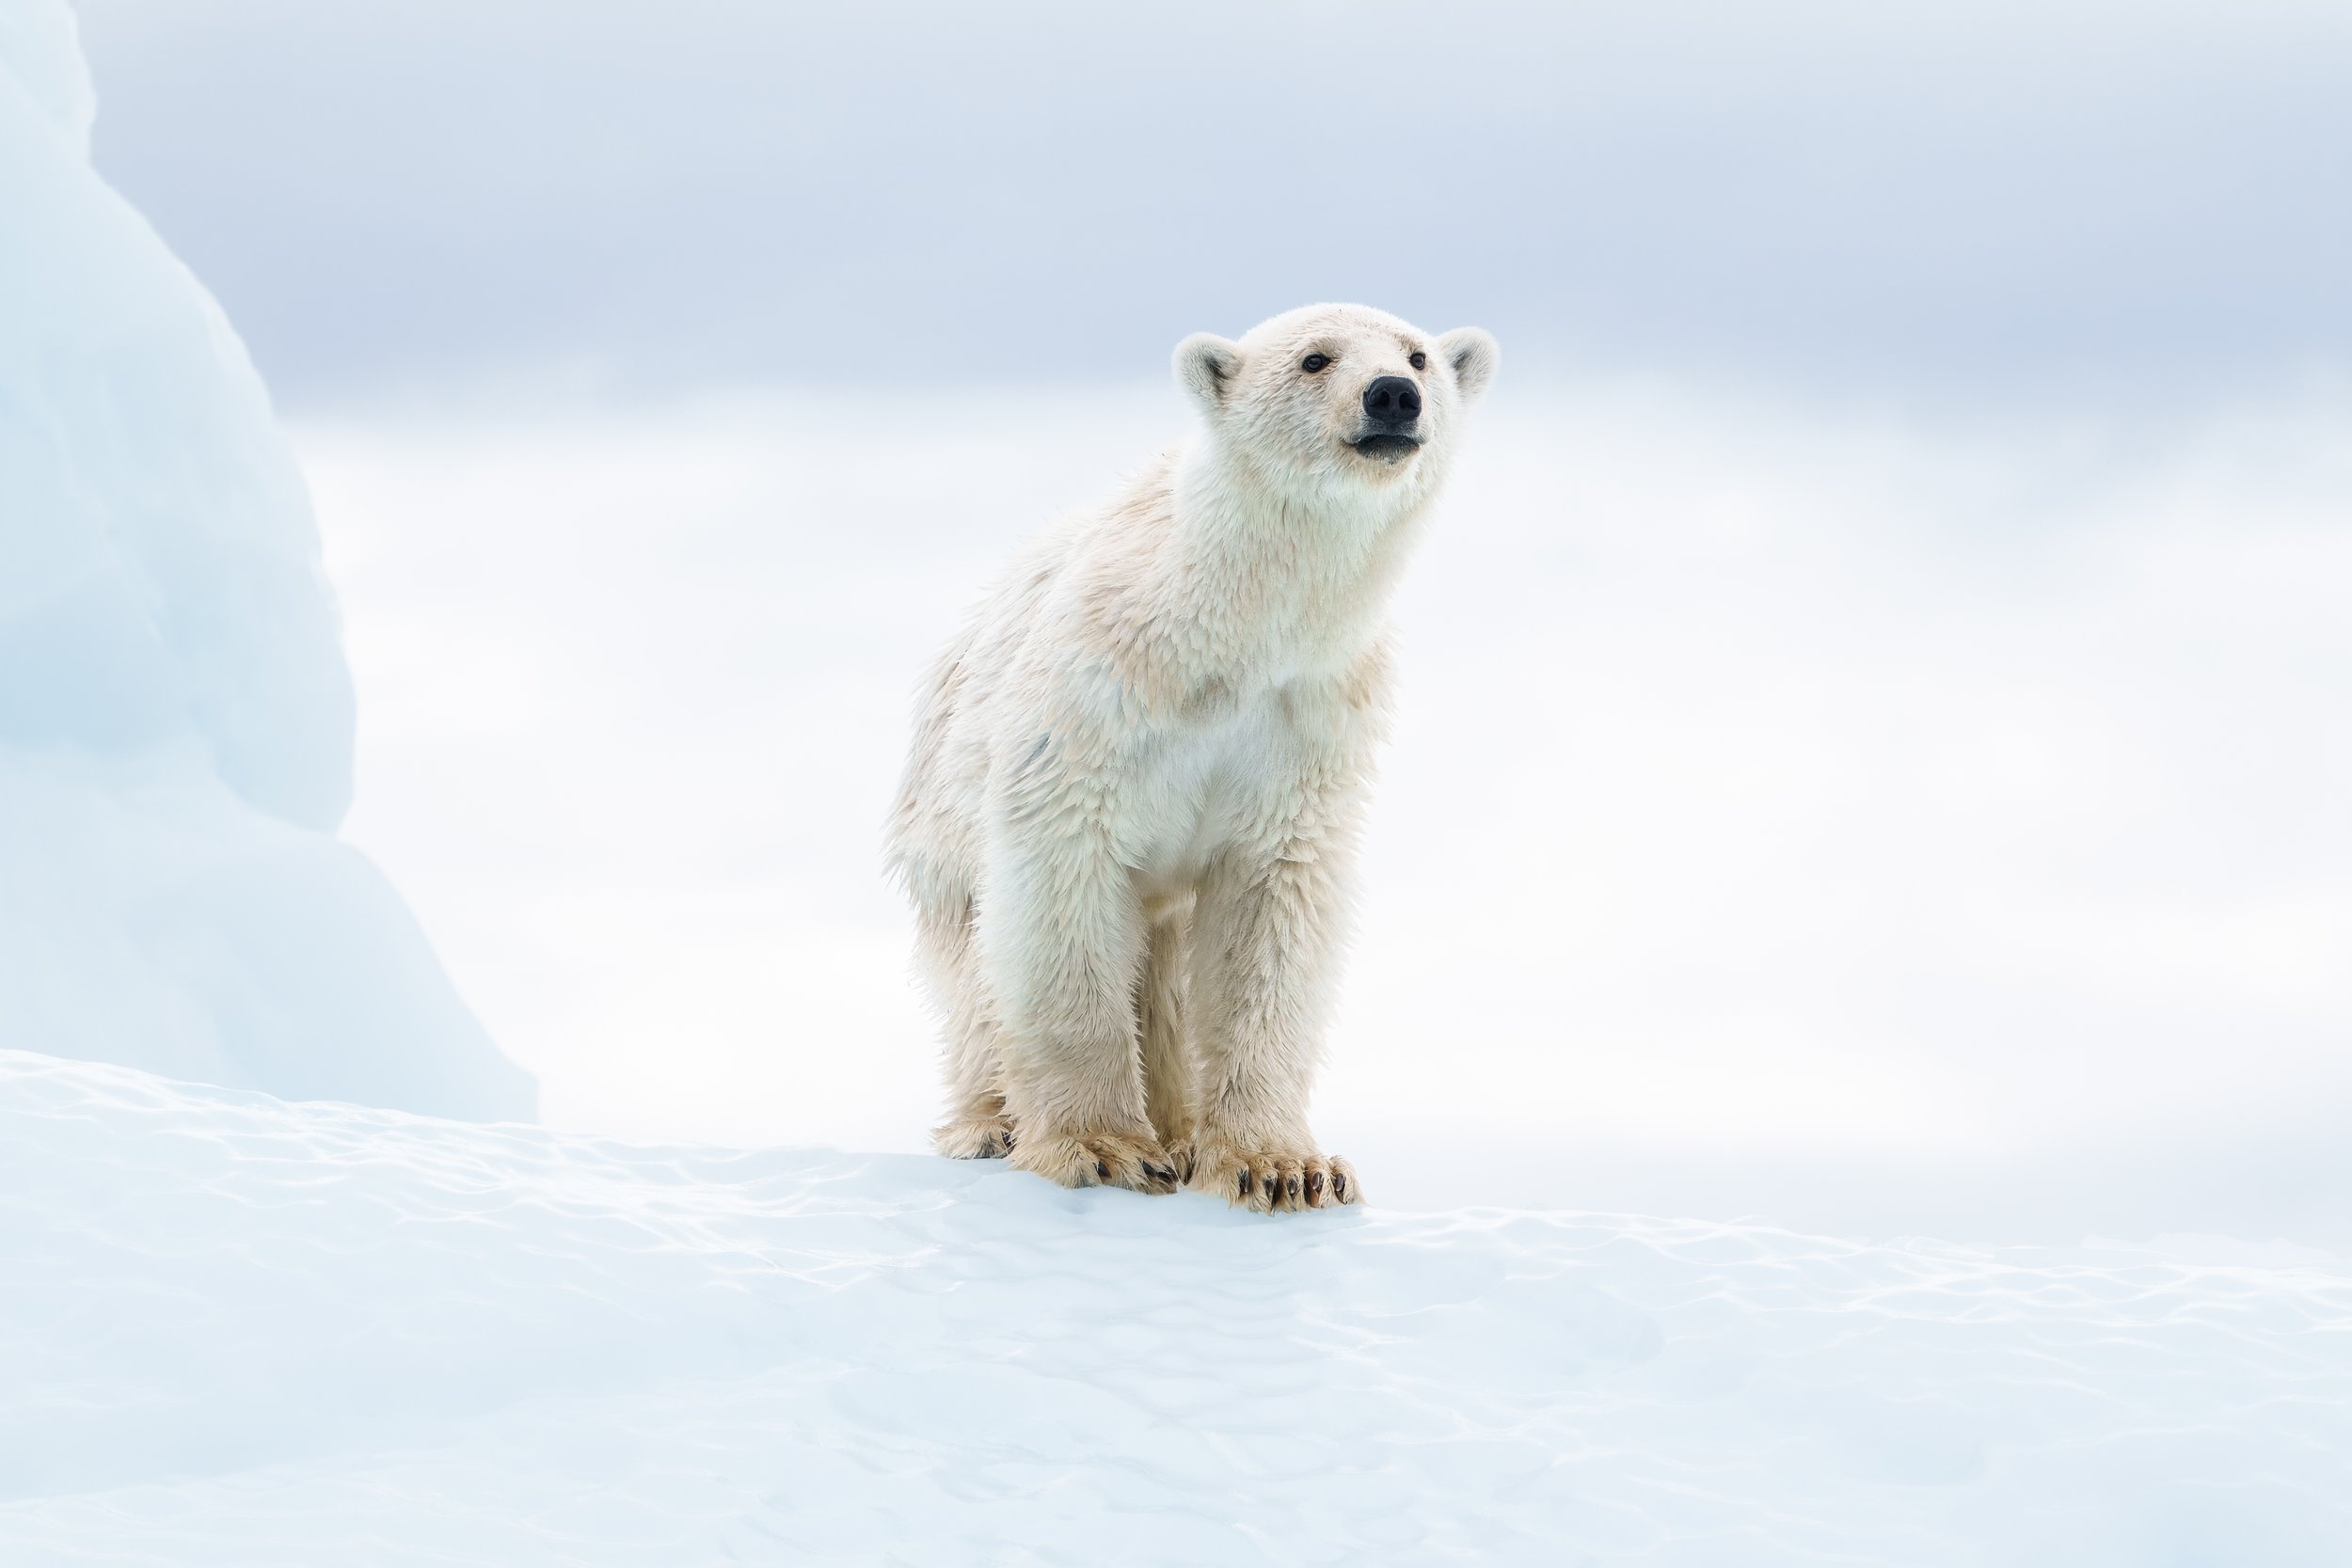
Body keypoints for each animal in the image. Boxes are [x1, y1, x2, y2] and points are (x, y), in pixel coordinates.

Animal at [886, 303, 1498, 1212]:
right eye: (1315, 359)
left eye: (1420, 355)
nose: (1393, 395)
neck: (1236, 634)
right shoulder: (1097, 694)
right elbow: (1059, 884)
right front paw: (1101, 1146)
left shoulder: (1307, 722)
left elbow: (1270, 911)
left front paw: (1280, 1166)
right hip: (941, 833)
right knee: (978, 981)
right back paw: (991, 1123)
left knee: (1166, 979)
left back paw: (1177, 1130)